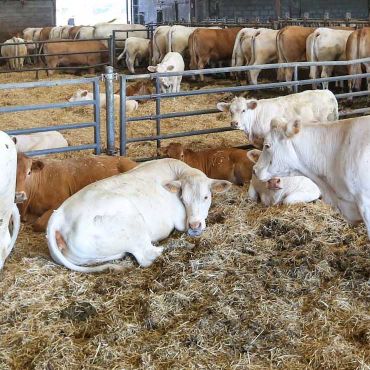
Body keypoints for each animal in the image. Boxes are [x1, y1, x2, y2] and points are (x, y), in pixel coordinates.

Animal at [46, 158, 231, 274]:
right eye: (183, 199)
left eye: (206, 197)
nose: (194, 226)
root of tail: (59, 215)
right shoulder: (181, 221)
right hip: (131, 222)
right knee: (147, 255)